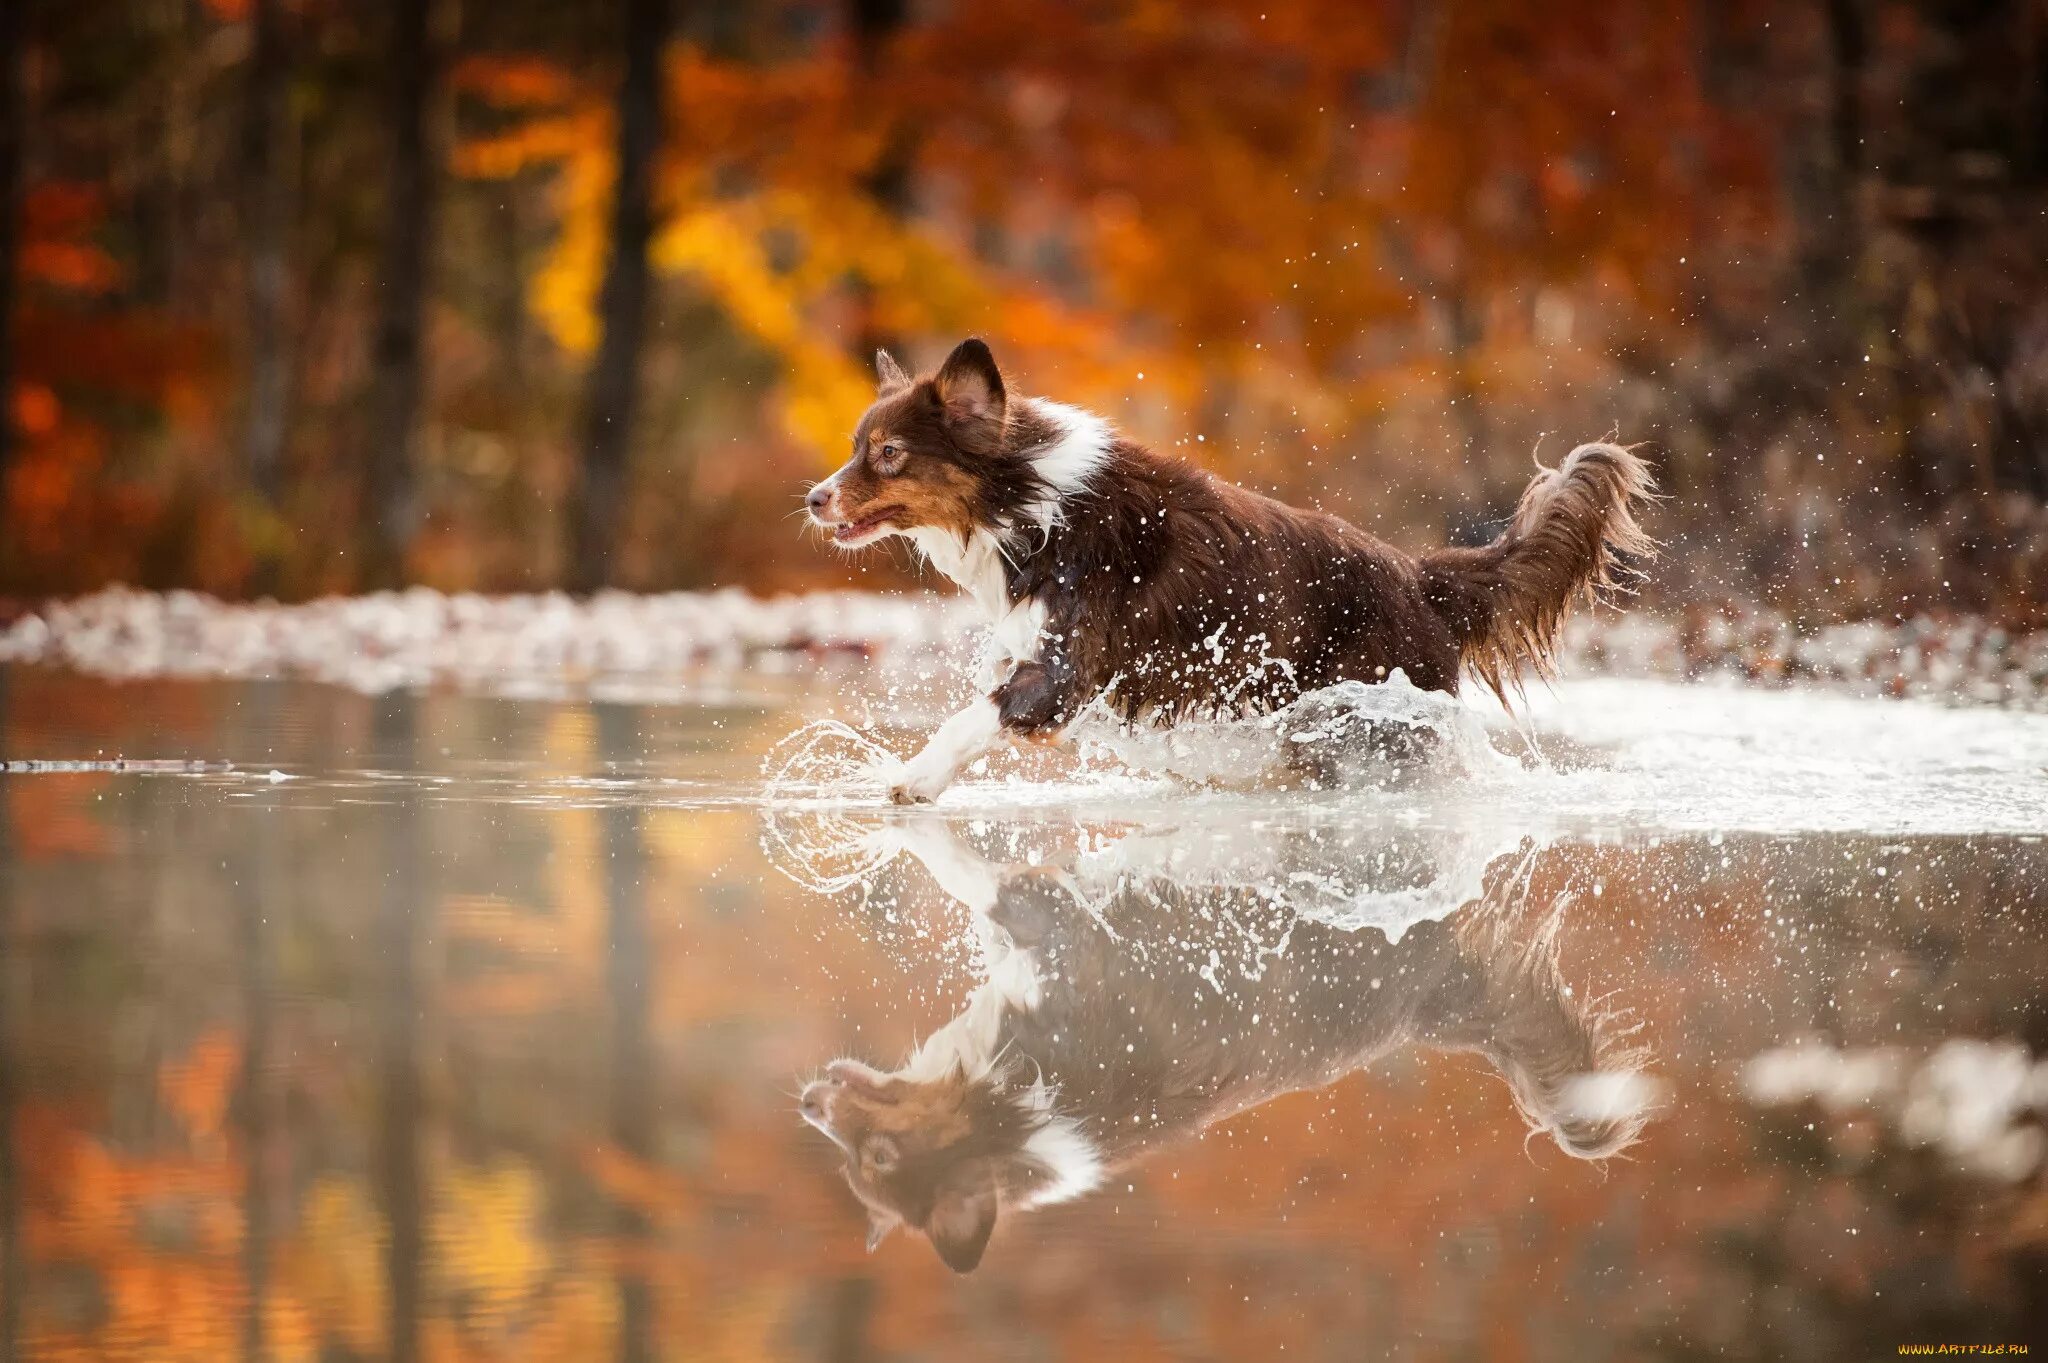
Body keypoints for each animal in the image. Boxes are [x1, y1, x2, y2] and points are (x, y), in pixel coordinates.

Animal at [794, 818, 1646, 1277]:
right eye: (854, 1173)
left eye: (877, 1158)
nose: (805, 1101)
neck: (1004, 1118)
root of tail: (1428, 1006)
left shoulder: (1043, 913)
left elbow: (954, 861)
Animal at [806, 337, 1654, 802]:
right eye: (855, 448)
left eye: (888, 453)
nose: (814, 498)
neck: (1031, 499)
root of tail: (1422, 579)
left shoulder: (1064, 670)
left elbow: (969, 715)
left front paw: (915, 776)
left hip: (1375, 723)